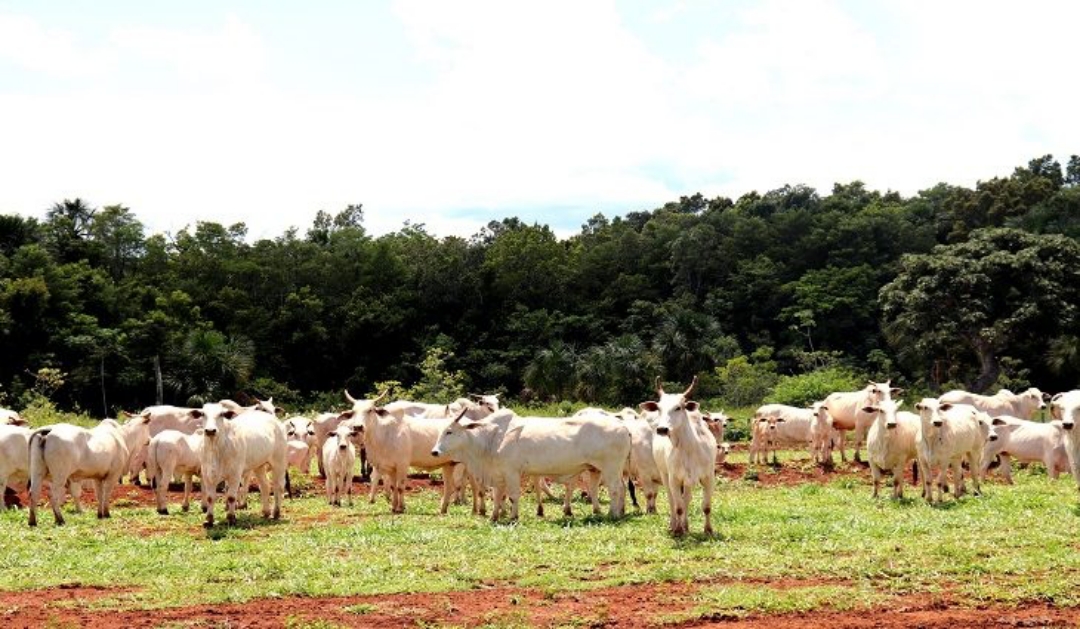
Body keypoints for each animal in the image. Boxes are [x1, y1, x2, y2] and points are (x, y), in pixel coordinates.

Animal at [639, 378, 717, 540]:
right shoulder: (674, 478)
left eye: (678, 408)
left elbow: (706, 507)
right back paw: (674, 525)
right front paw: (678, 530)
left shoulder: (708, 477)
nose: (662, 429)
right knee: (672, 501)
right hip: (665, 475)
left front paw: (708, 530)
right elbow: (678, 506)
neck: (689, 448)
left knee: (686, 498)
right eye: (659, 408)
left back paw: (685, 525)